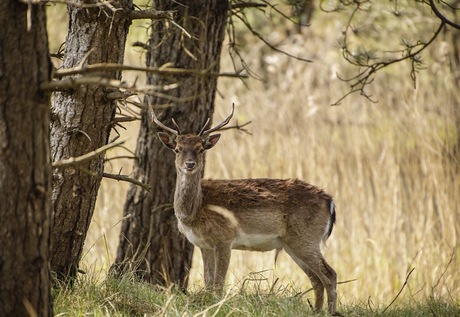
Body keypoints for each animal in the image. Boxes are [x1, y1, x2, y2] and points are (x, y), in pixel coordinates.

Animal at [151, 104, 338, 314]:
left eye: (200, 149)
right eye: (177, 149)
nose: (189, 164)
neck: (195, 211)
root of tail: (330, 201)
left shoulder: (224, 238)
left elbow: (218, 284)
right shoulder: (203, 245)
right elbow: (208, 282)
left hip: (306, 238)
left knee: (330, 275)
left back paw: (330, 312)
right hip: (292, 244)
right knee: (316, 279)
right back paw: (316, 311)